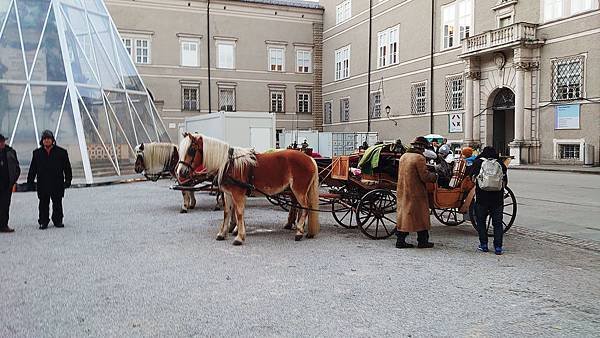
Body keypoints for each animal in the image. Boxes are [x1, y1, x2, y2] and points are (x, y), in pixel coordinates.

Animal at [176, 133, 322, 246]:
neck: (229, 164)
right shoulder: (227, 194)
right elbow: (227, 213)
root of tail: (309, 158)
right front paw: (222, 233)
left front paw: (239, 237)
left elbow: (239, 213)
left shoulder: (238, 194)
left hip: (299, 190)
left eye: (191, 150)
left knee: (305, 208)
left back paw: (299, 232)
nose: (180, 172)